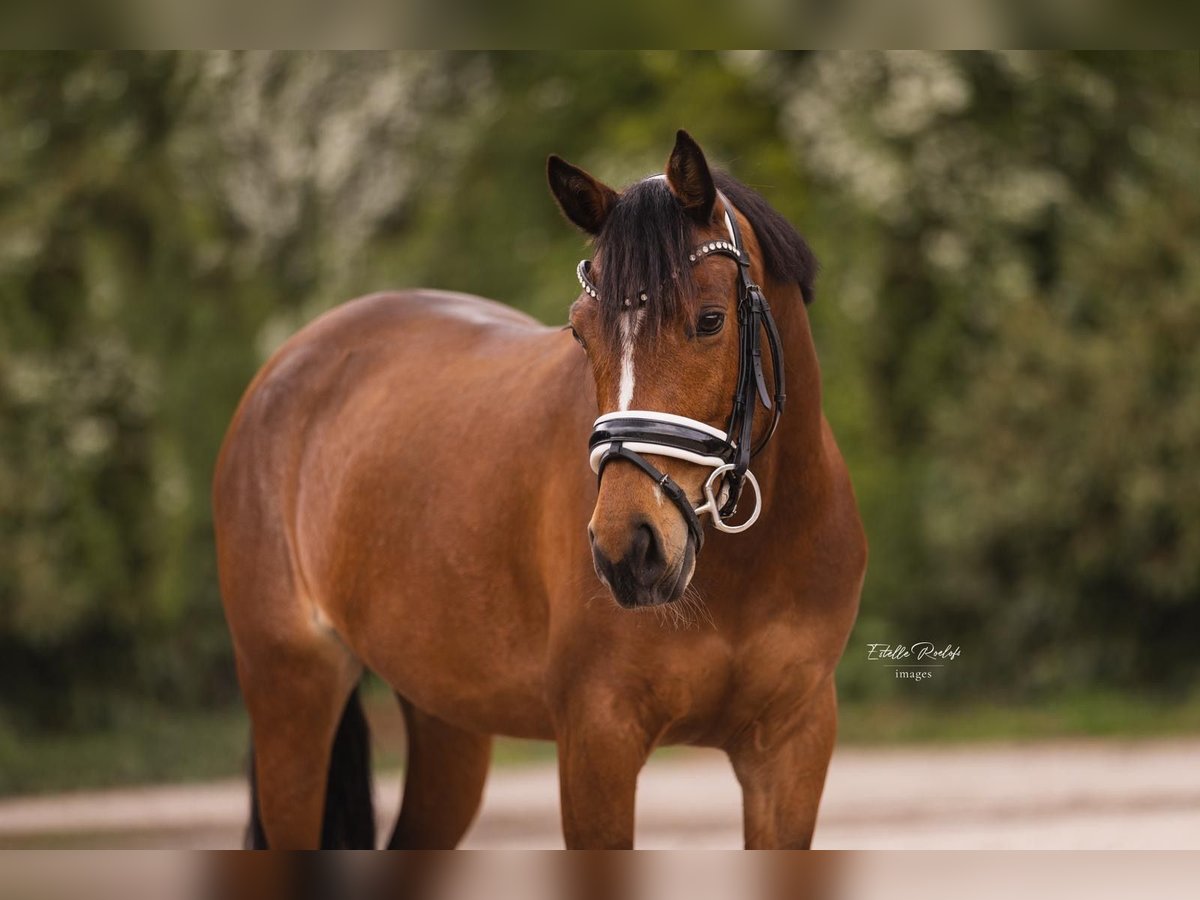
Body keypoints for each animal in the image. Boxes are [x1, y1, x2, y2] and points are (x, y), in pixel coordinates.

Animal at [216, 130, 868, 849]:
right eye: (581, 330)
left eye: (710, 320)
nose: (628, 549)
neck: (749, 566)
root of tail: (286, 364)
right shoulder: (596, 739)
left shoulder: (792, 748)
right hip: (292, 696)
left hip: (447, 719)